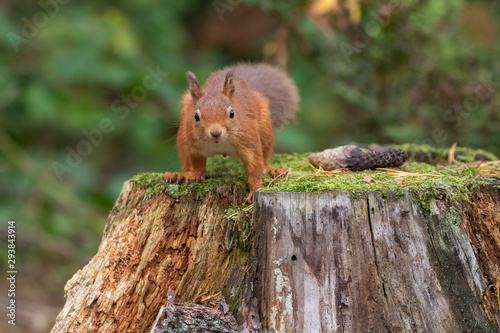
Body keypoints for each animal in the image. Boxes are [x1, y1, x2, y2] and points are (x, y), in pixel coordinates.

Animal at [162, 63, 298, 201]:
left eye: (232, 113)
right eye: (196, 116)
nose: (215, 133)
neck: (219, 144)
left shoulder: (248, 139)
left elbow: (254, 166)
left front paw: (254, 190)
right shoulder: (193, 144)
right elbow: (196, 161)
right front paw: (196, 175)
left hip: (265, 129)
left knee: (264, 157)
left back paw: (272, 170)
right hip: (183, 134)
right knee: (186, 160)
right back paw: (179, 175)